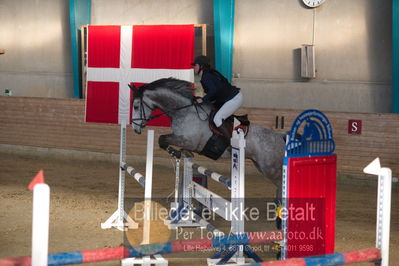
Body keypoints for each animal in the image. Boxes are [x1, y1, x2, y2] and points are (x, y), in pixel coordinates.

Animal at [130, 78, 286, 194]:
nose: (135, 128)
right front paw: (183, 153)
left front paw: (176, 153)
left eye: (136, 106)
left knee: (281, 184)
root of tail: (280, 137)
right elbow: (162, 140)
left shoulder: (188, 140)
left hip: (270, 169)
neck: (183, 112)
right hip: (260, 165)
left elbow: (162, 139)